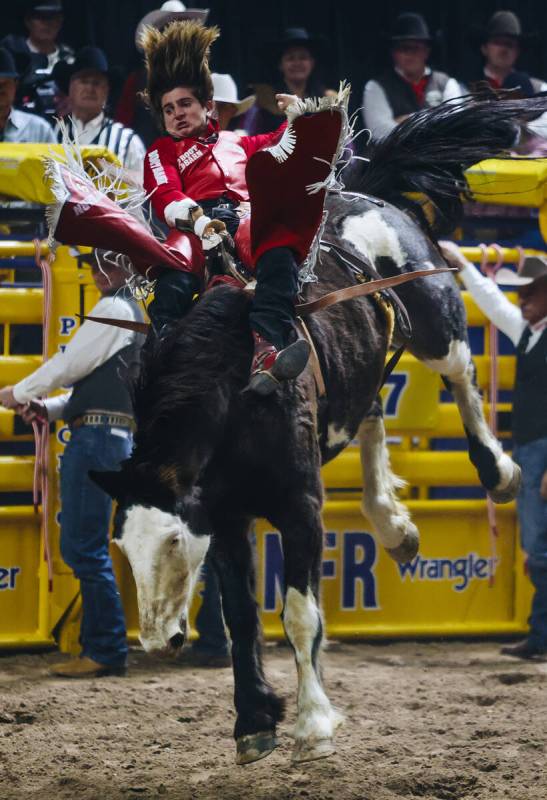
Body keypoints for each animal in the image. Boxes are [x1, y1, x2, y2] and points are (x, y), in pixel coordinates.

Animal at [49, 95, 544, 768]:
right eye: (123, 546)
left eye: (172, 542)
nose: (156, 640)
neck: (235, 396)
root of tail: (363, 191)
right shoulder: (224, 517)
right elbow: (240, 618)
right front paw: (254, 723)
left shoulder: (300, 507)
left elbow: (299, 614)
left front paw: (312, 725)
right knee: (370, 412)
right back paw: (392, 524)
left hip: (433, 313)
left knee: (460, 372)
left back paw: (498, 472)